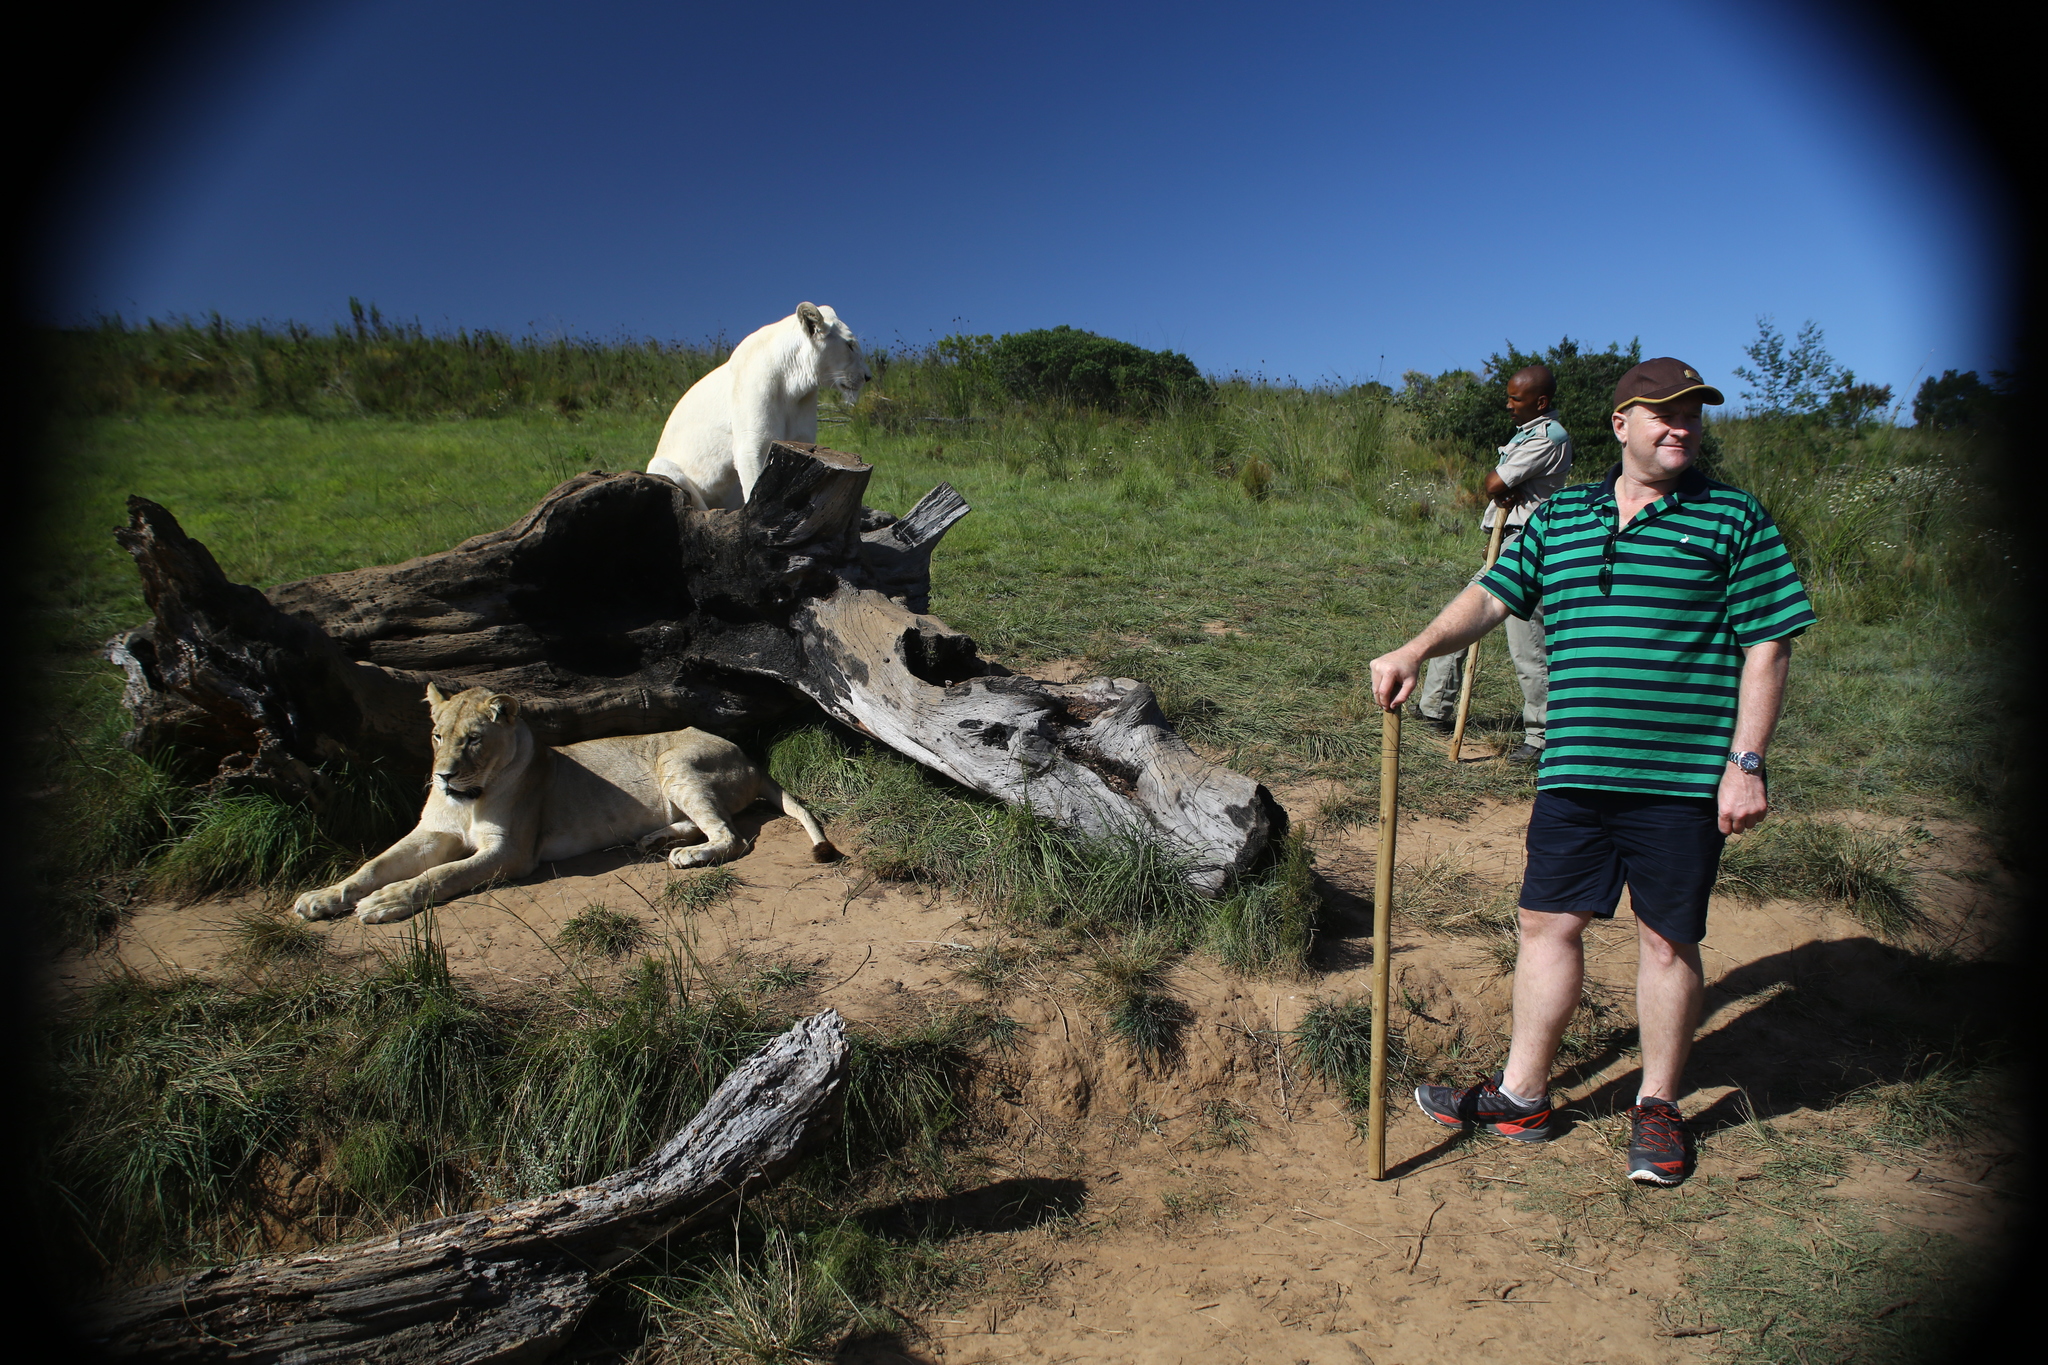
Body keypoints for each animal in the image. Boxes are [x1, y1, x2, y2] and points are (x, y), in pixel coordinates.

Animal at [292, 683, 835, 929]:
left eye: (473, 739)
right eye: (437, 735)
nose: (442, 776)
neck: (468, 800)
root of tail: (751, 758)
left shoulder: (510, 853)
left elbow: (441, 875)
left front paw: (384, 902)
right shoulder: (432, 832)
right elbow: (374, 864)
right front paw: (323, 897)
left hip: (675, 761)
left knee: (731, 836)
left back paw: (685, 854)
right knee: (704, 825)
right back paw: (654, 839)